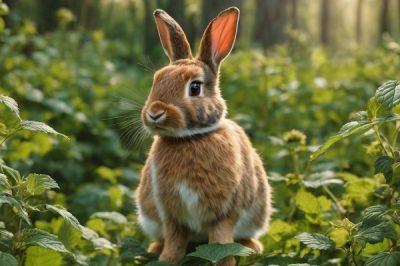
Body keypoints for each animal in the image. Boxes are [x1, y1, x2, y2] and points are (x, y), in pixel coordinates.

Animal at [135, 6, 272, 266]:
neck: (190, 138)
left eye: (195, 87)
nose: (155, 113)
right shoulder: (171, 214)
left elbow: (221, 243)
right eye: (156, 80)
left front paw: (225, 261)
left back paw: (253, 247)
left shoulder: (224, 212)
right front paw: (167, 259)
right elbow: (175, 239)